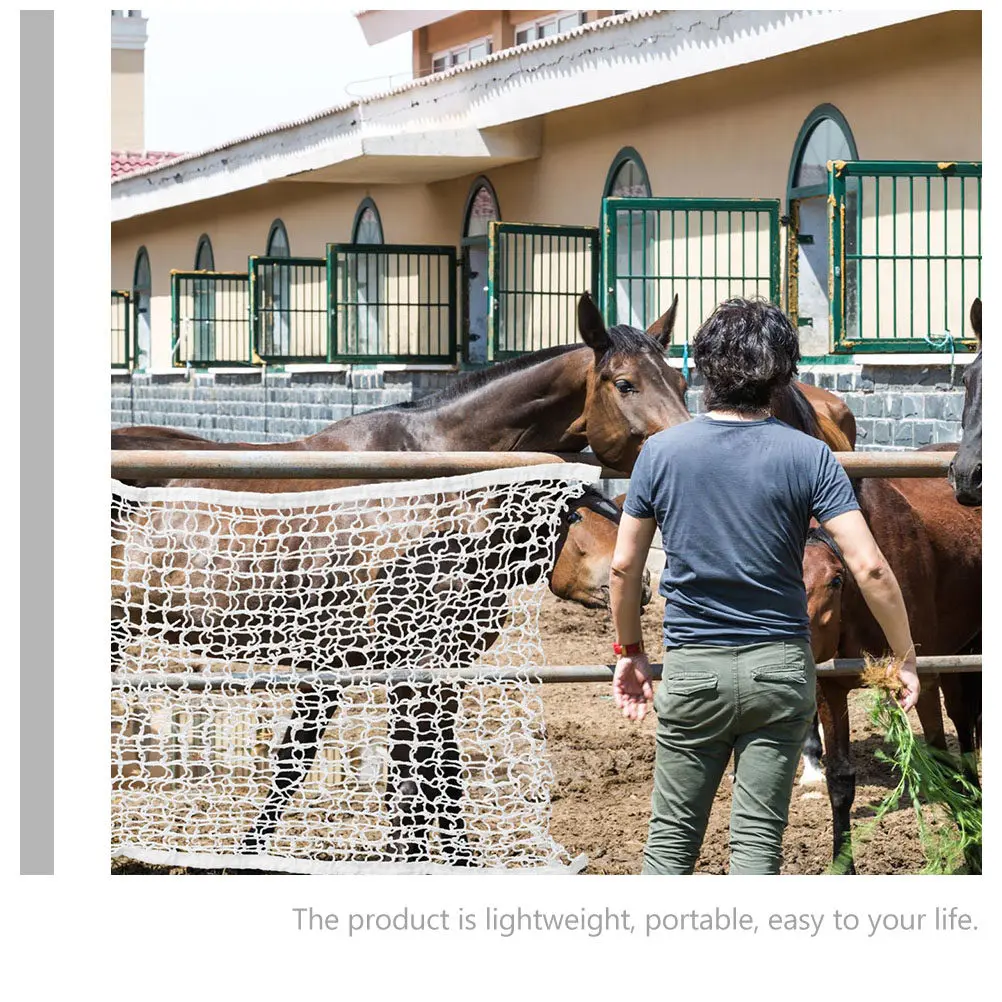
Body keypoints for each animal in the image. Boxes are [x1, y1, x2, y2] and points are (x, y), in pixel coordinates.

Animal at [801, 471, 981, 873]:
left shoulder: (924, 680)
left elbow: (941, 759)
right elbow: (840, 780)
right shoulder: (828, 689)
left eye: (834, 581)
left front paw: (971, 846)